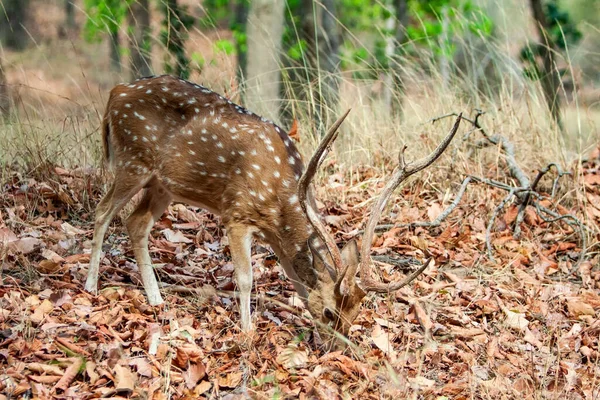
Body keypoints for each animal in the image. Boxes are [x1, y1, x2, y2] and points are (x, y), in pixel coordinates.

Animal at [84, 75, 460, 346]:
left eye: (355, 315)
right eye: (329, 311)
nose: (337, 350)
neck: (281, 201)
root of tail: (114, 93)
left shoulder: (275, 237)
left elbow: (296, 280)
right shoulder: (236, 214)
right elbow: (246, 278)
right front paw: (247, 331)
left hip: (163, 185)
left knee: (136, 222)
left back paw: (156, 299)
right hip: (132, 160)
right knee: (102, 212)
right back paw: (90, 287)